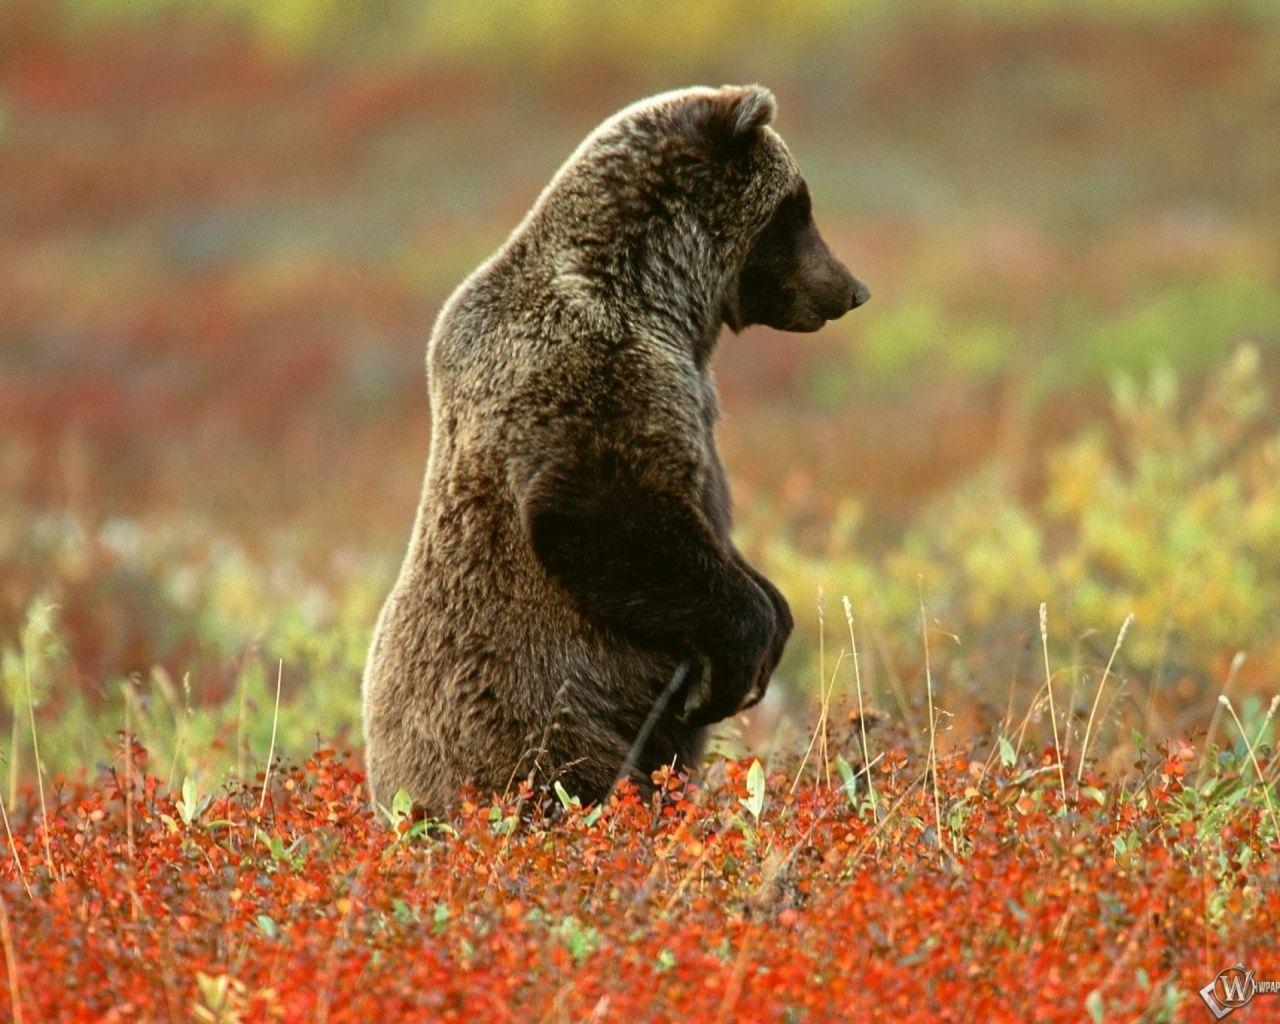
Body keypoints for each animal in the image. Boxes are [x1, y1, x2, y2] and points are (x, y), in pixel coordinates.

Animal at [362, 85, 868, 815]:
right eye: (795, 209)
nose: (851, 289)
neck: (661, 300)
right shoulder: (595, 373)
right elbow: (599, 509)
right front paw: (739, 661)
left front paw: (776, 615)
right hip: (542, 717)